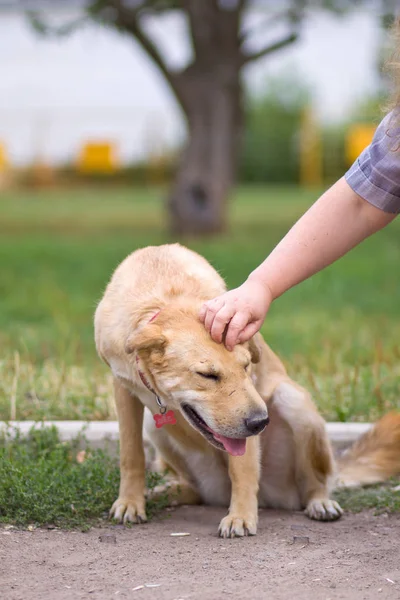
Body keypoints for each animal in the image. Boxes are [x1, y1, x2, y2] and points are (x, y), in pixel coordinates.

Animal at [94, 244, 400, 540]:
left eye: (245, 367)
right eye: (207, 375)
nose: (260, 423)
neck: (166, 298)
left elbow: (242, 469)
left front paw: (240, 517)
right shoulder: (122, 389)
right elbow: (131, 454)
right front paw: (130, 502)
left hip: (294, 404)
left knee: (315, 483)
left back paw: (319, 502)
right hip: (154, 427)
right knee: (193, 490)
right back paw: (164, 493)